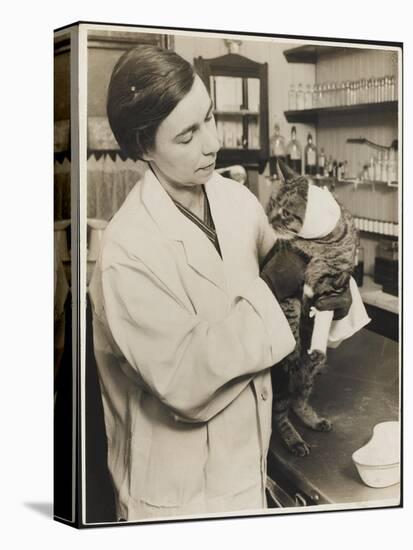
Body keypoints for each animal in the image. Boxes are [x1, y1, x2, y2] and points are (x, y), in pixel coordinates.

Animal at [266, 161, 356, 458]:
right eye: (270, 204)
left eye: (284, 212)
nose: (268, 219)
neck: (320, 243)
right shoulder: (287, 290)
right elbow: (292, 316)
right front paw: (294, 343)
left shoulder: (333, 287)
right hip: (280, 381)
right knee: (279, 413)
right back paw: (293, 439)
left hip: (311, 373)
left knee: (299, 399)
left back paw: (312, 419)